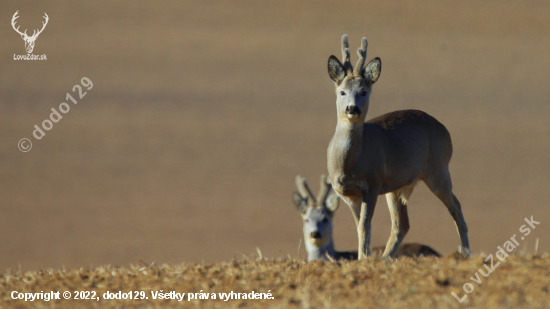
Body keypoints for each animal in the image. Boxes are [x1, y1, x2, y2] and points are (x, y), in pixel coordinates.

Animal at [326, 35, 472, 258]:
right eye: (342, 92)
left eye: (364, 92)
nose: (352, 108)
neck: (348, 166)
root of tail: (443, 128)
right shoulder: (347, 194)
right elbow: (359, 227)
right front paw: (364, 257)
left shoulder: (372, 184)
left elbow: (365, 227)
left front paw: (363, 258)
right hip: (397, 186)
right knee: (401, 224)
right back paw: (386, 258)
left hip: (437, 170)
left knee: (455, 206)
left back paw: (466, 253)